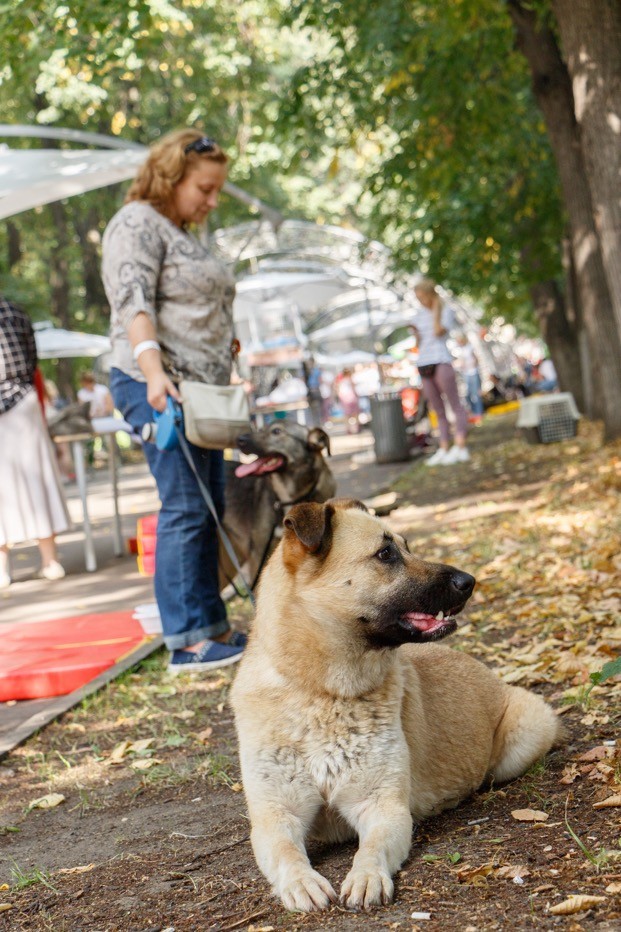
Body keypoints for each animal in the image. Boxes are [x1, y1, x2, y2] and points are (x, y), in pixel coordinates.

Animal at [230, 498, 560, 912]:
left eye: (406, 546)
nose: (469, 581)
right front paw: (301, 881)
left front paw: (366, 877)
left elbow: (370, 849)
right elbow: (286, 852)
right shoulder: (276, 817)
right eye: (386, 554)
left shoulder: (384, 809)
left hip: (524, 736)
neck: (320, 691)